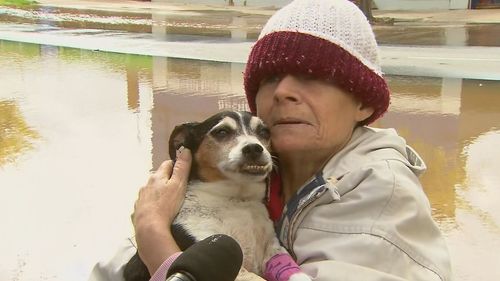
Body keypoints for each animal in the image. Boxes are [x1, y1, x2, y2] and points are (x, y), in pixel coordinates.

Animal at [123, 110, 308, 280]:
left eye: (264, 132)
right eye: (222, 132)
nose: (254, 148)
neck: (237, 200)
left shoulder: (273, 249)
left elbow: (294, 272)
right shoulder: (213, 251)